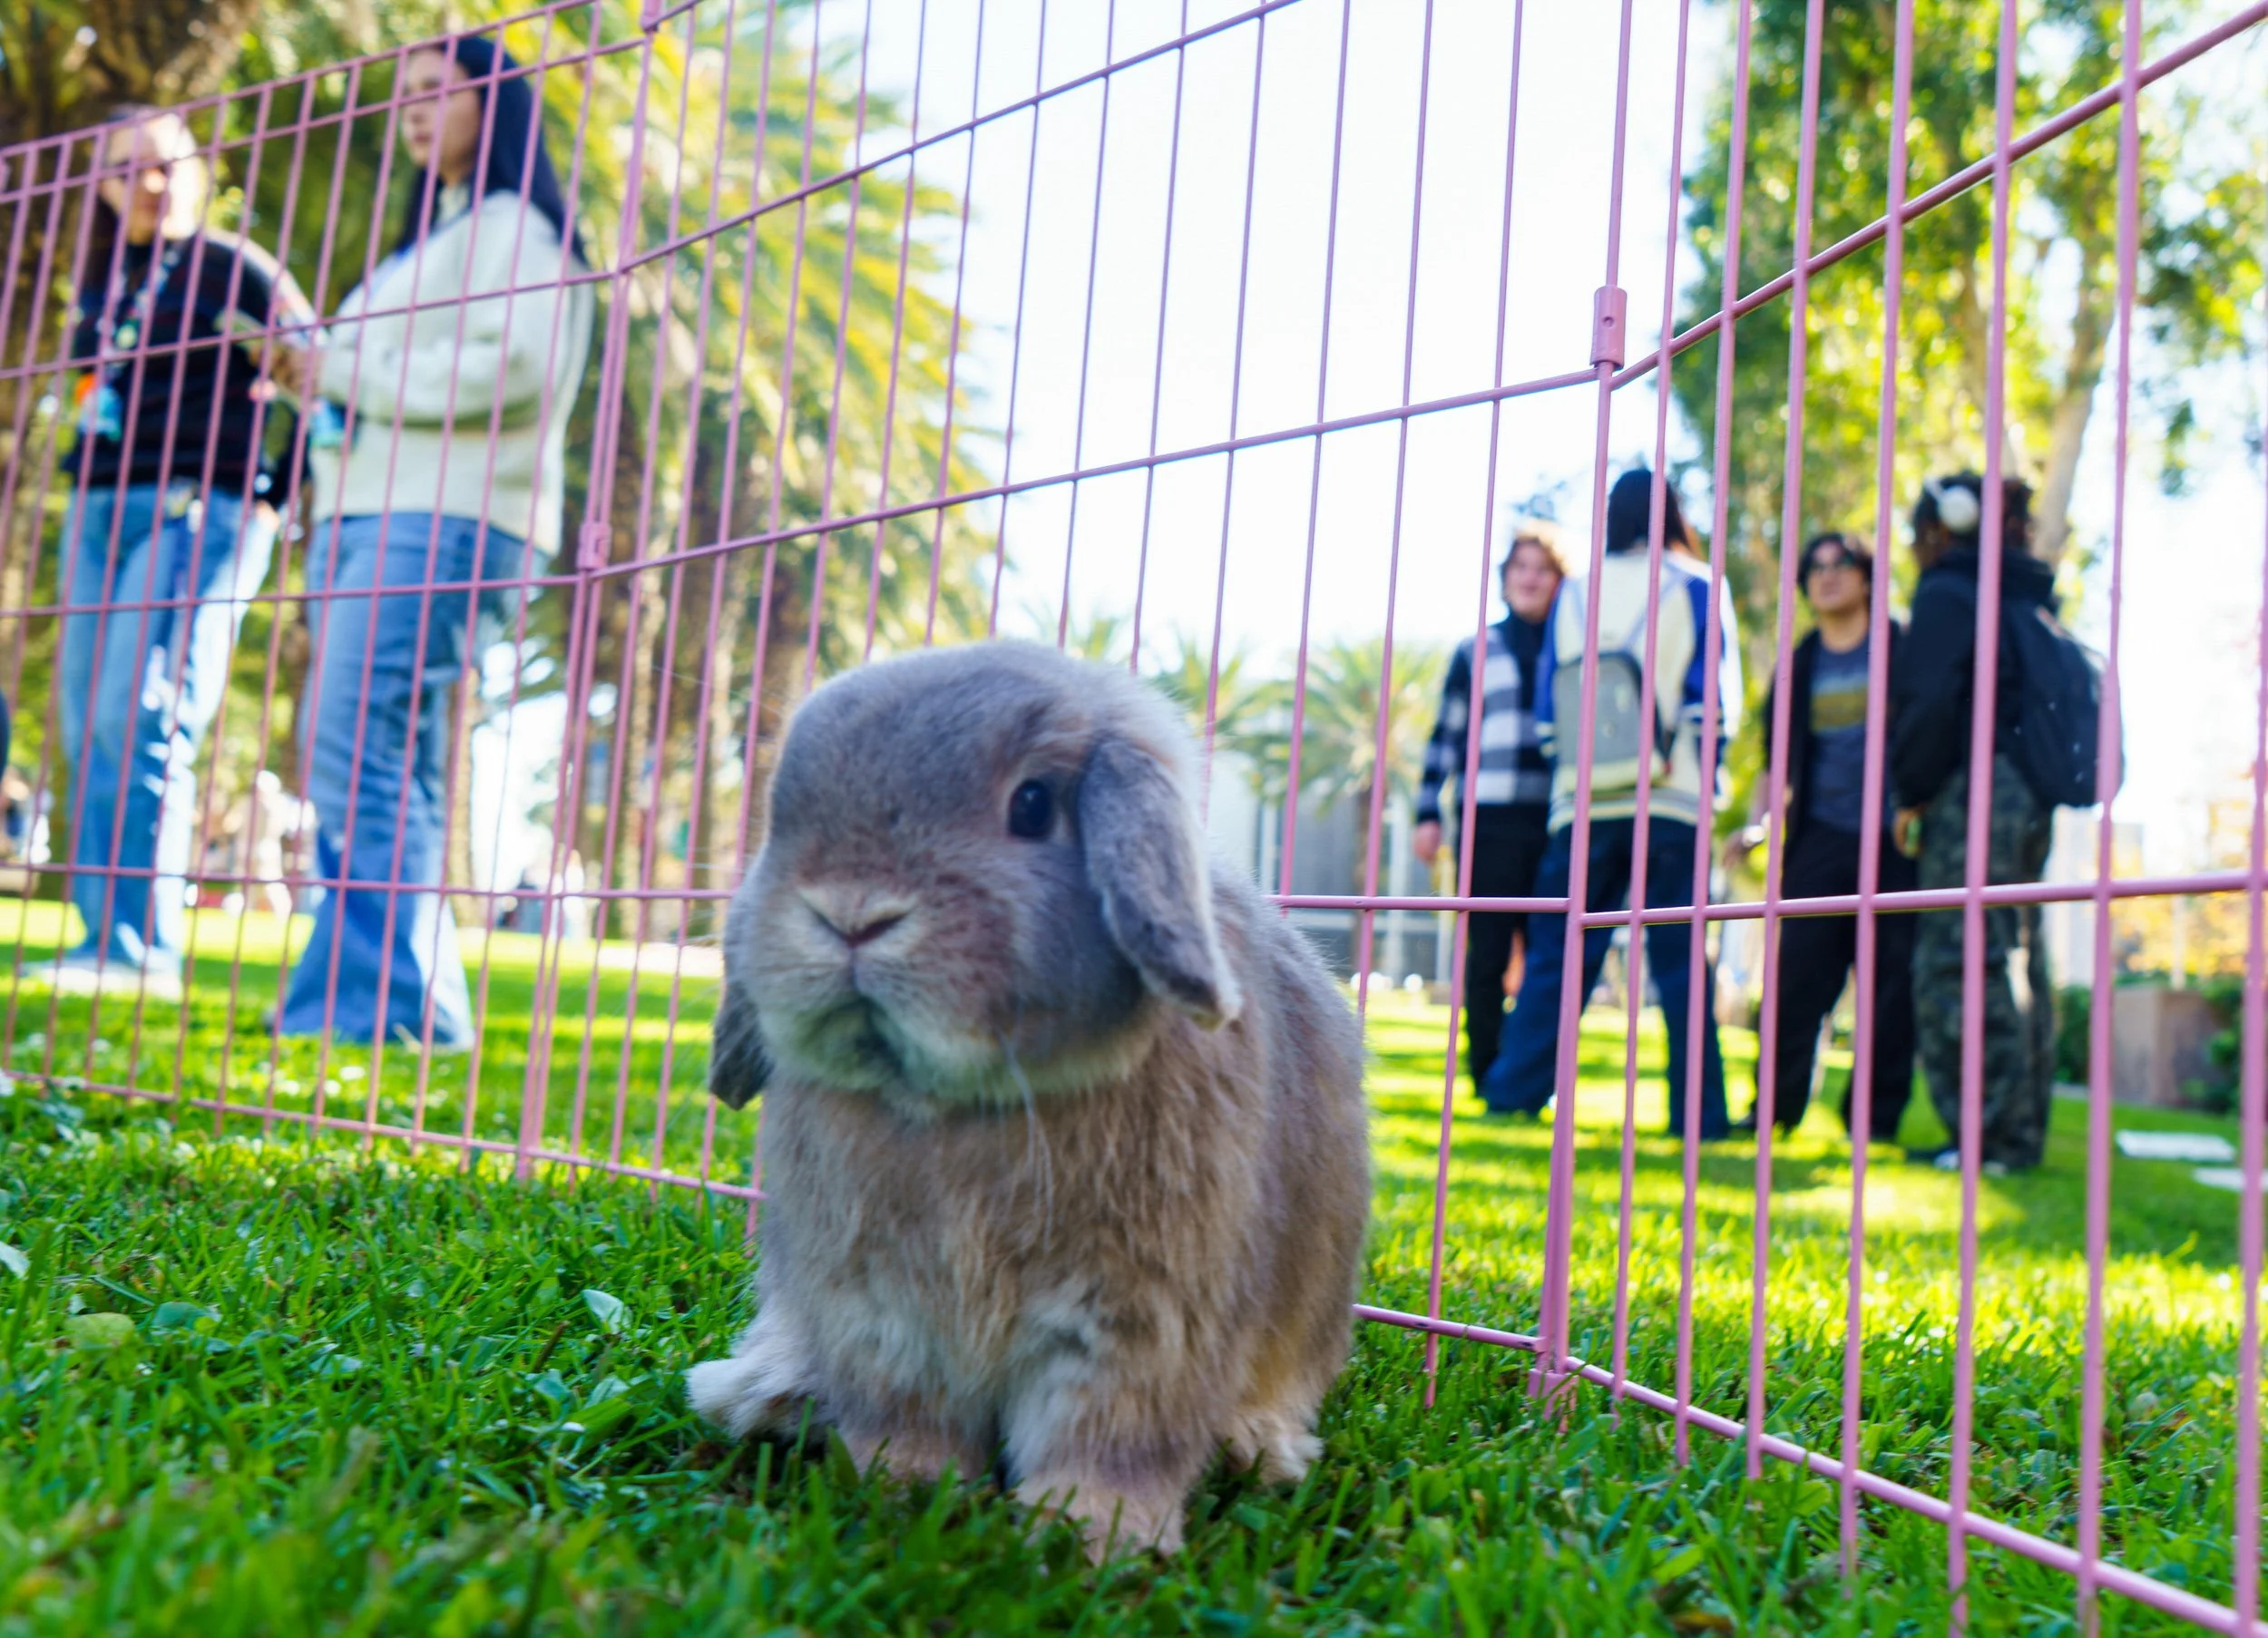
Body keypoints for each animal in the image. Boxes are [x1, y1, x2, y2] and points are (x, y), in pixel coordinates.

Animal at [685, 639, 1370, 1559]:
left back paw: (1257, 1447)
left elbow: (1109, 1437)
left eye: (1034, 805)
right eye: (785, 813)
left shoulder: (1139, 1326)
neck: (959, 1107)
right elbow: (906, 1423)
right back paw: (766, 1396)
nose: (850, 915)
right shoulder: (883, 1316)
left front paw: (1092, 1534)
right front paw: (904, 1490)